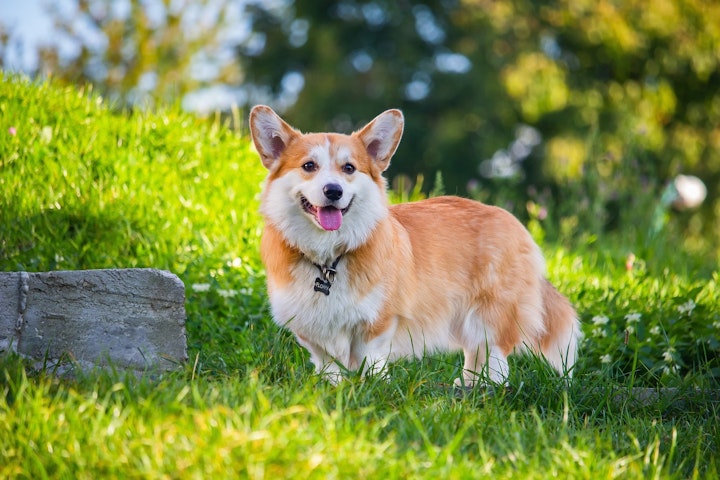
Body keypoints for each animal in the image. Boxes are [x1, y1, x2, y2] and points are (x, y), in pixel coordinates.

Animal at [250, 106, 584, 386]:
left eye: (349, 168)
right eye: (309, 166)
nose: (334, 191)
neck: (329, 257)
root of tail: (514, 222)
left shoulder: (378, 323)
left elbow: (370, 360)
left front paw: (373, 387)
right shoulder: (311, 329)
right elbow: (328, 364)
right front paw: (333, 388)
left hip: (491, 314)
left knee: (495, 356)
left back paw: (487, 390)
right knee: (475, 353)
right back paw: (467, 386)